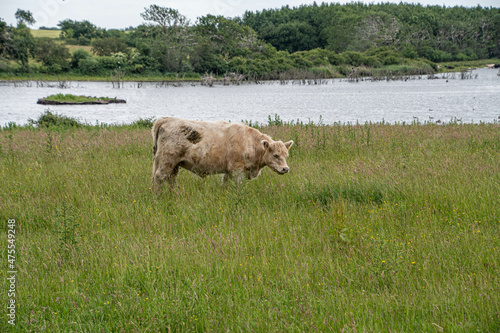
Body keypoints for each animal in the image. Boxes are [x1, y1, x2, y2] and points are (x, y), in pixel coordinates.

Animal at [152, 117, 292, 188]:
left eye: (286, 155)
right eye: (275, 155)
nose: (285, 169)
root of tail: (166, 119)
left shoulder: (228, 171)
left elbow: (225, 184)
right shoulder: (237, 170)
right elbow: (238, 186)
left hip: (174, 165)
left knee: (171, 179)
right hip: (167, 160)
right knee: (159, 177)